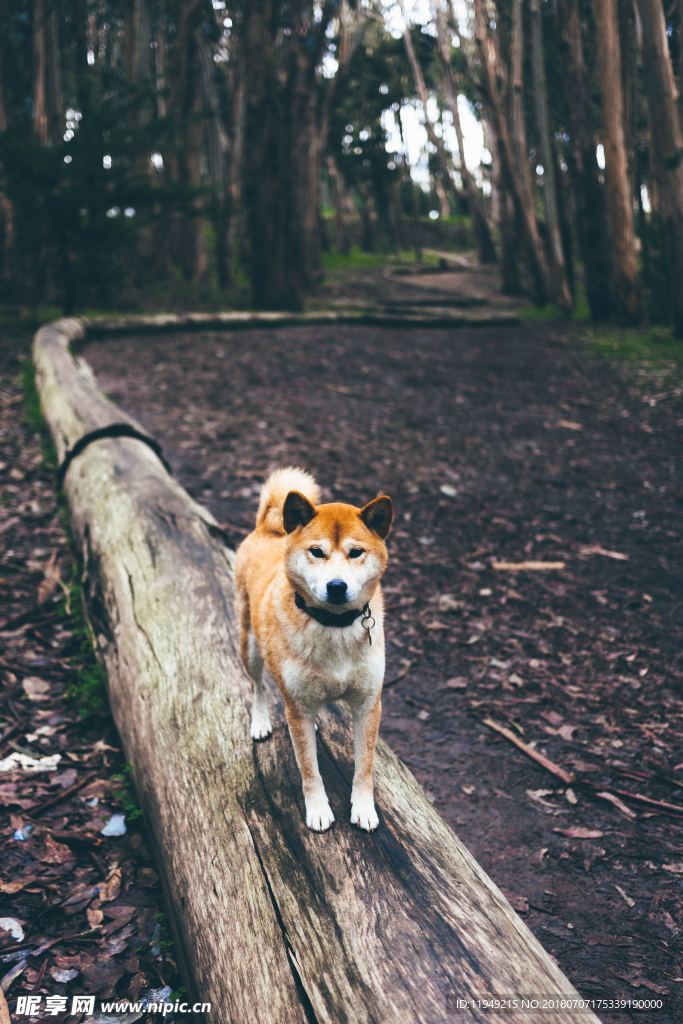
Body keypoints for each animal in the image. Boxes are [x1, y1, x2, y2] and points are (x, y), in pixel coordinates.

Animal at [237, 468, 393, 827]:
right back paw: (260, 722)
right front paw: (319, 810)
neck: (333, 626)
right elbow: (310, 770)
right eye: (317, 552)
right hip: (250, 648)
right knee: (257, 686)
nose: (336, 586)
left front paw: (364, 808)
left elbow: (364, 767)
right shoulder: (297, 709)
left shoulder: (368, 705)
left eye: (355, 552)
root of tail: (267, 529)